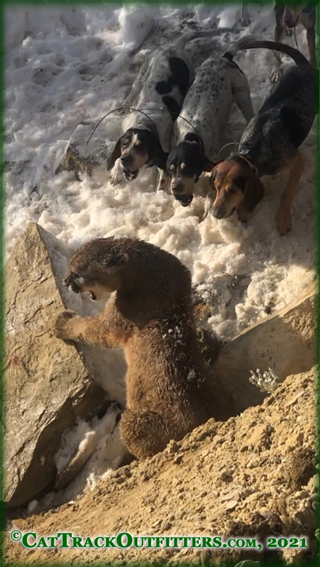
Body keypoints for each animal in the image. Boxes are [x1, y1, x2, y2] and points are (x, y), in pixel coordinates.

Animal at [107, 28, 232, 190]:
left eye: (141, 146)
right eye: (124, 144)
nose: (125, 159)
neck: (145, 122)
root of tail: (175, 45)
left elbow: (162, 176)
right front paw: (116, 172)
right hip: (143, 74)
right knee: (133, 91)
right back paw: (124, 106)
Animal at [166, 44, 254, 207]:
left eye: (187, 168)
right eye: (170, 169)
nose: (175, 188)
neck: (191, 135)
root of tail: (224, 58)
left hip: (242, 95)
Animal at [208, 36, 318, 235]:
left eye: (233, 191)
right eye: (217, 187)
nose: (215, 214)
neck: (254, 150)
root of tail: (302, 65)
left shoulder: (298, 160)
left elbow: (286, 193)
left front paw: (283, 218)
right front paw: (243, 212)